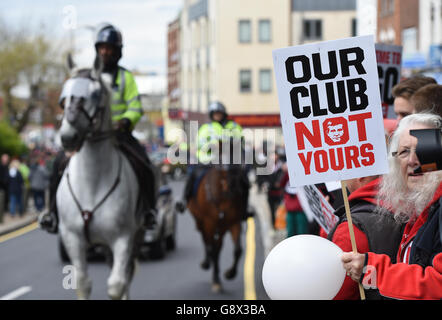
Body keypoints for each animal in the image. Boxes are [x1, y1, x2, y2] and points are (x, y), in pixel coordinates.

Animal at [57, 66, 143, 298]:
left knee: (127, 274)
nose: (67, 137)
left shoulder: (122, 238)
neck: (92, 182)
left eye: (95, 94)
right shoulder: (72, 238)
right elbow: (82, 283)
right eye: (63, 97)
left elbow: (117, 284)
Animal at [186, 141, 249, 292]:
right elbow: (212, 248)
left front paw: (230, 273)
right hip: (201, 222)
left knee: (217, 246)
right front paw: (215, 278)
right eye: (223, 159)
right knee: (208, 243)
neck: (223, 196)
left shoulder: (234, 223)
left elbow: (238, 250)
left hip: (221, 227)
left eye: (241, 155)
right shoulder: (209, 223)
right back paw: (207, 263)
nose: (236, 185)